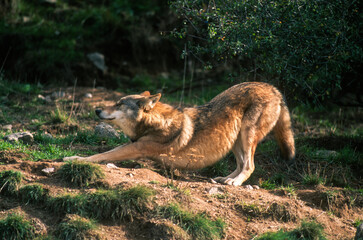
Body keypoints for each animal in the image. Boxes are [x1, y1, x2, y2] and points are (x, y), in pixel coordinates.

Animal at [63, 82, 296, 186]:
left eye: (119, 104)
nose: (96, 110)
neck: (154, 123)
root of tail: (273, 87)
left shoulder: (135, 147)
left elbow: (100, 155)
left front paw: (74, 158)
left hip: (246, 136)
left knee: (249, 166)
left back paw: (234, 183)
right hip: (235, 140)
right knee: (240, 165)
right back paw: (225, 179)